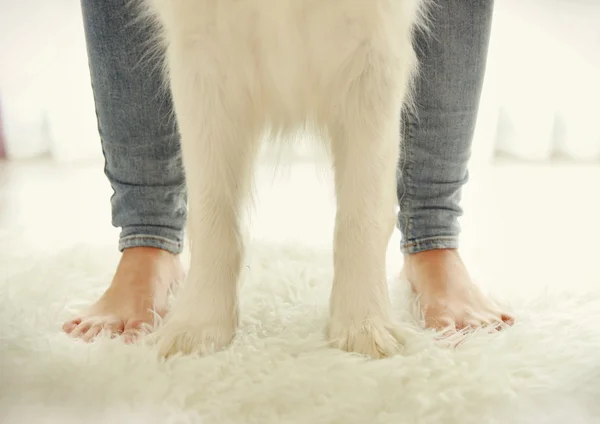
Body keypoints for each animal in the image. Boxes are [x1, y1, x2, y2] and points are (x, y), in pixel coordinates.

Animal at [139, 0, 426, 360]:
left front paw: (363, 324)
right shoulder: (201, 58)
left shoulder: (374, 55)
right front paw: (198, 325)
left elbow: (364, 214)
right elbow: (210, 214)